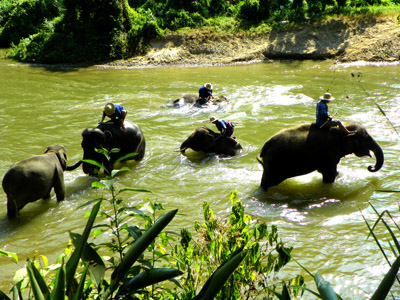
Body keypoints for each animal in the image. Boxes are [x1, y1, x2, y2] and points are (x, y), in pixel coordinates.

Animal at [256, 122, 384, 190]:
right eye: (367, 139)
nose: (370, 167)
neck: (344, 129)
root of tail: (265, 146)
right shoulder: (330, 151)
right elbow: (329, 174)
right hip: (274, 163)